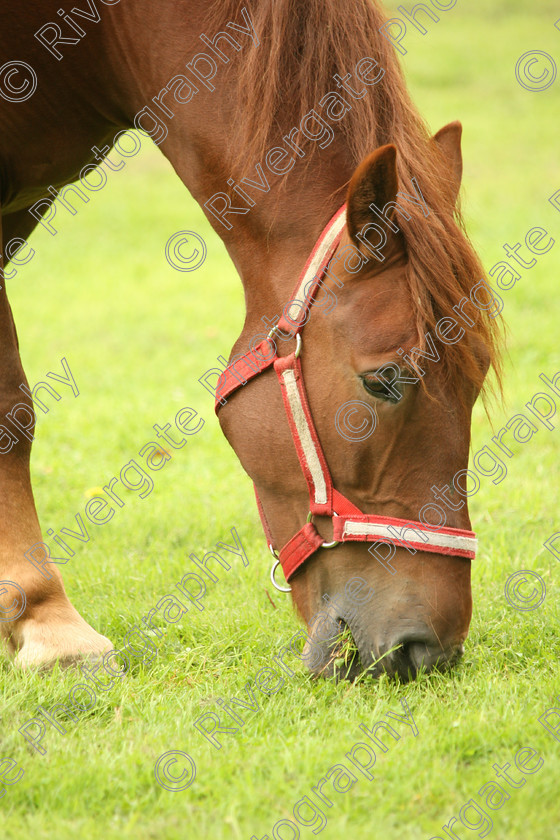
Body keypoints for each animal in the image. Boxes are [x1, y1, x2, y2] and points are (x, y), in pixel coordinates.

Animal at [0, 0, 498, 680]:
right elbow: (11, 406)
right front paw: (52, 627)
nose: (427, 652)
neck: (105, 34)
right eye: (385, 380)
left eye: (476, 383)